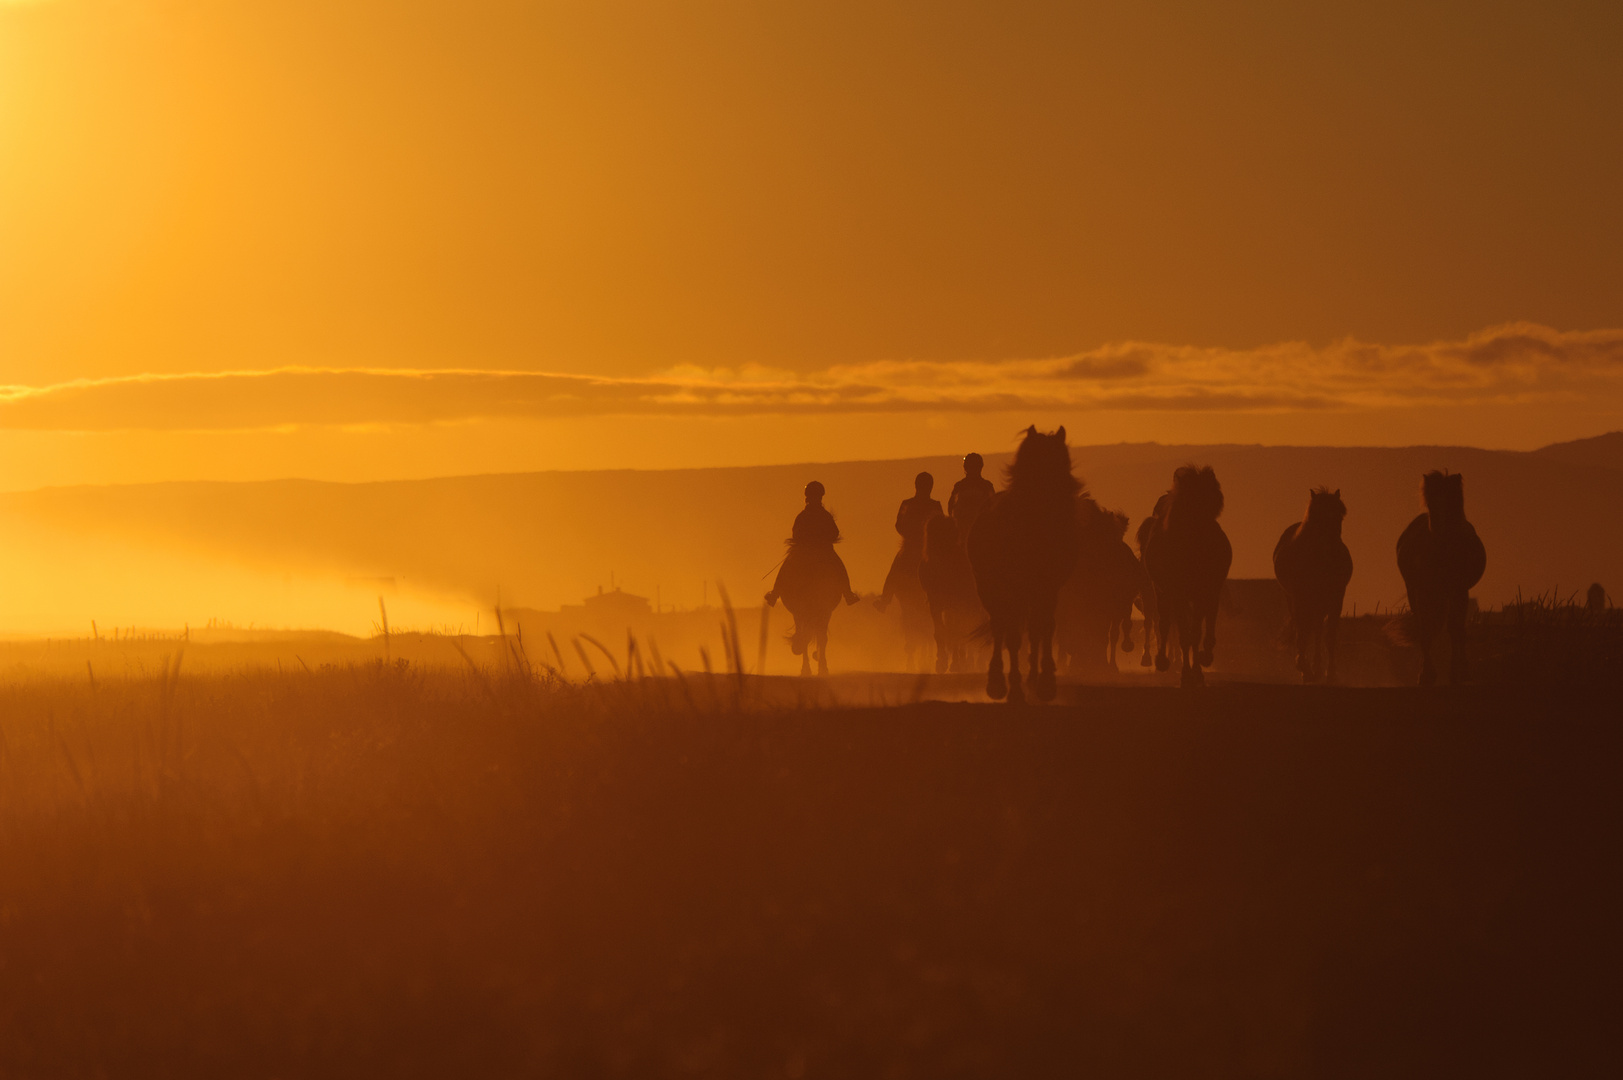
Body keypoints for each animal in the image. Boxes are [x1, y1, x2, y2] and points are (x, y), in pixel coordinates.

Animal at [967, 425, 1084, 704]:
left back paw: (1030, 680)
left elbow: (1044, 629)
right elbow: (1012, 635)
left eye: (1062, 461)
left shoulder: (1048, 588)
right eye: (1038, 462)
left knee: (1032, 630)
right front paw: (1015, 690)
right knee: (1000, 627)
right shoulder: (1012, 589)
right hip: (990, 589)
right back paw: (998, 684)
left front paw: (1045, 684)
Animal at [1142, 464, 1226, 685]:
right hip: (1162, 592)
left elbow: (1196, 632)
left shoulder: (1204, 591)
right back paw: (1162, 661)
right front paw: (1187, 674)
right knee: (1164, 622)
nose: (1211, 541)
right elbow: (1183, 633)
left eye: (1213, 503)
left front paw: (1197, 670)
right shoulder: (1177, 593)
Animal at [1272, 487, 1350, 682]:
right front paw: (1304, 668)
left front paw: (1330, 673)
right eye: (1317, 516)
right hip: (1297, 600)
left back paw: (1317, 668)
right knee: (1305, 629)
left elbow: (1329, 636)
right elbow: (1302, 631)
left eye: (1339, 516)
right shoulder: (1300, 598)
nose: (1332, 551)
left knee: (1317, 630)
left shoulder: (1336, 597)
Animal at [1395, 470, 1486, 682]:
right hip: (1418, 593)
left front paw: (1459, 671)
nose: (1441, 530)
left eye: (1454, 500)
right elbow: (1426, 629)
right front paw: (1426, 674)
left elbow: (1456, 628)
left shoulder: (1459, 590)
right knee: (1425, 625)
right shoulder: (1422, 591)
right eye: (1431, 502)